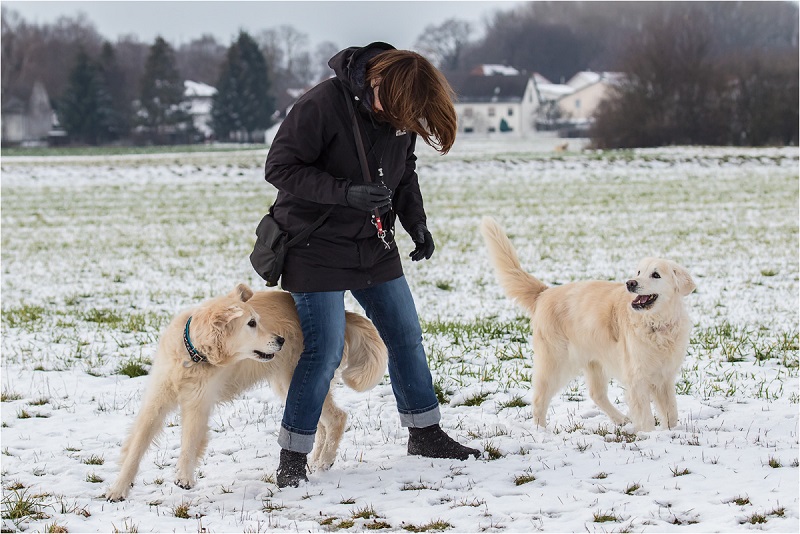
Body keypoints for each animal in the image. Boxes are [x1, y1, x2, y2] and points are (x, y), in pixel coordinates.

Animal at [105, 284, 388, 502]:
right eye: (251, 323)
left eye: (259, 320)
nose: (280, 340)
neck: (192, 355)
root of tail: (344, 314)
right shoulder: (155, 403)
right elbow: (136, 449)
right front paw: (118, 490)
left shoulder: (199, 405)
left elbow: (188, 444)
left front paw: (184, 478)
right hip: (292, 386)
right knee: (322, 423)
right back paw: (318, 460)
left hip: (294, 380)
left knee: (338, 417)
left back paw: (324, 460)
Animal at [478, 217, 696, 432]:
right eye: (639, 272)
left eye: (656, 274)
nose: (630, 283)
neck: (656, 325)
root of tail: (545, 293)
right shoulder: (637, 378)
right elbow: (646, 417)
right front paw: (650, 435)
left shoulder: (664, 377)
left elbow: (671, 412)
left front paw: (670, 432)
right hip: (555, 363)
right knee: (540, 398)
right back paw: (541, 431)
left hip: (593, 362)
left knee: (596, 394)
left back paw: (621, 420)